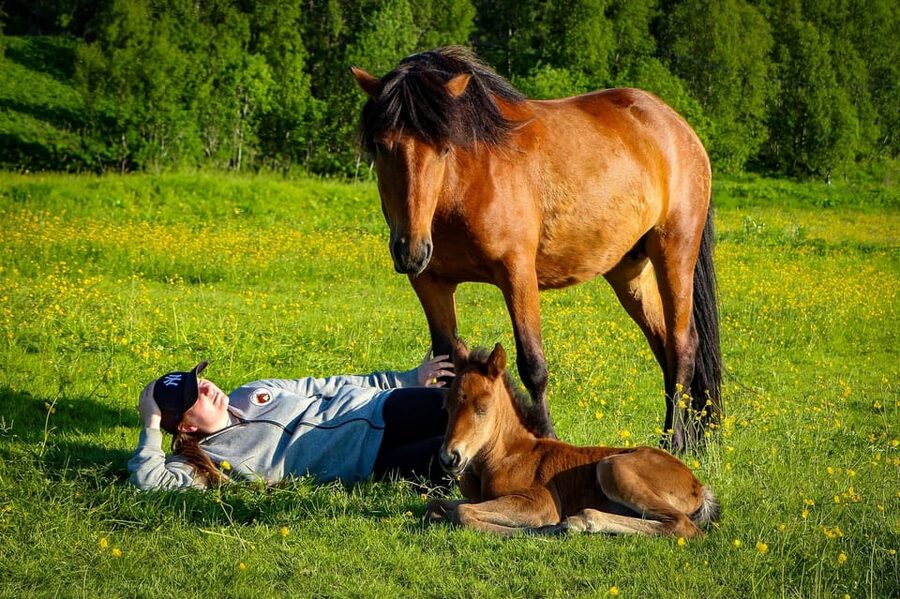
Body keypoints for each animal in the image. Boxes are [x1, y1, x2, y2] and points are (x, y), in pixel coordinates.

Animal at [352, 46, 721, 450]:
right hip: (629, 269)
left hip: (675, 251)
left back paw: (677, 442)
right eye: (381, 146)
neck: (467, 182)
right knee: (663, 345)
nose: (411, 251)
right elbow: (447, 363)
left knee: (682, 346)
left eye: (445, 148)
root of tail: (679, 128)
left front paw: (545, 438)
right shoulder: (430, 283)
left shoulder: (517, 273)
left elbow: (533, 366)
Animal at [425, 343, 720, 537]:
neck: (504, 455)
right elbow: (436, 505)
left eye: (482, 409)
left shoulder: (540, 501)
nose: (450, 457)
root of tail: (697, 484)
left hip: (612, 467)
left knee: (683, 525)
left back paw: (576, 522)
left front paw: (531, 530)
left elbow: (464, 513)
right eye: (446, 406)